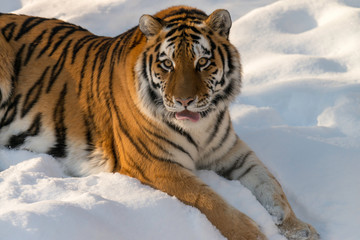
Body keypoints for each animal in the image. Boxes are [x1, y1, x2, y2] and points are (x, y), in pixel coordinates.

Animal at [0, 5, 320, 240]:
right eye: (167, 64)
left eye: (202, 63)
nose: (184, 101)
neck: (200, 126)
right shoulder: (157, 164)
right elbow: (210, 202)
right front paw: (253, 234)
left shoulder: (234, 154)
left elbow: (273, 189)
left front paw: (299, 228)